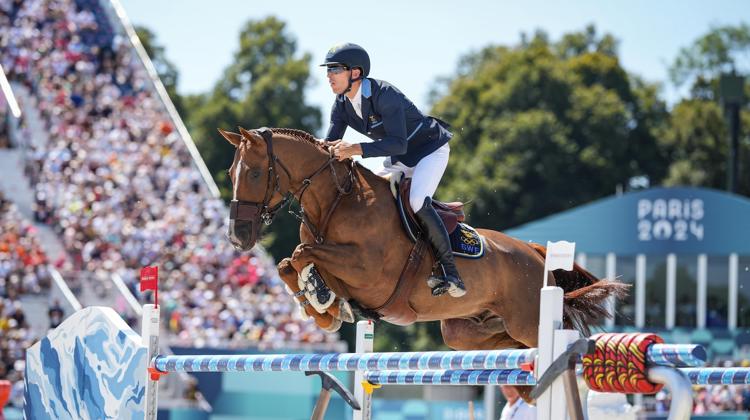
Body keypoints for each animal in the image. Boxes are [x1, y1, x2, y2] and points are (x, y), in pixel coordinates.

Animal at [219, 125, 628, 354]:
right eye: (230, 172)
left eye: (254, 173)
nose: (237, 238)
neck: (337, 202)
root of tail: (534, 251)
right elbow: (290, 262)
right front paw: (325, 309)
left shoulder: (369, 273)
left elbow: (304, 253)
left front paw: (321, 299)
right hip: (466, 331)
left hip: (529, 322)